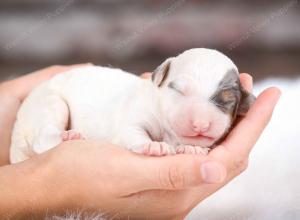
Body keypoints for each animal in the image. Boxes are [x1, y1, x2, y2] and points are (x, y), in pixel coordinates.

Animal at [9, 48, 254, 163]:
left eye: (227, 101)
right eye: (178, 90)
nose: (200, 125)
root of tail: (19, 123)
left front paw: (193, 148)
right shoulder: (131, 122)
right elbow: (133, 132)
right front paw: (153, 146)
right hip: (50, 103)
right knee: (42, 139)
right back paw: (67, 137)